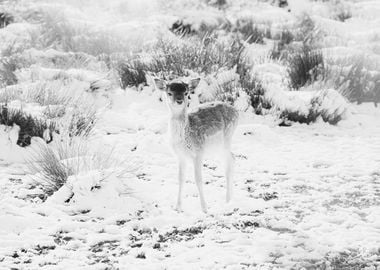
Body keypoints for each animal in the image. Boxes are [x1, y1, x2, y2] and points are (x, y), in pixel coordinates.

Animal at [154, 77, 238, 212]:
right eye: (169, 93)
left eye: (186, 92)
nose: (179, 100)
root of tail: (237, 111)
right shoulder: (180, 156)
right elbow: (180, 178)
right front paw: (177, 207)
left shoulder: (198, 152)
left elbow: (198, 179)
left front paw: (204, 208)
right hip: (217, 147)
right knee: (233, 158)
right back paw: (231, 197)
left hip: (227, 138)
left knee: (229, 162)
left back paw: (228, 200)